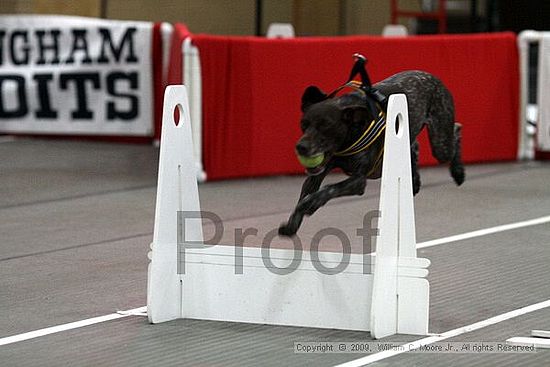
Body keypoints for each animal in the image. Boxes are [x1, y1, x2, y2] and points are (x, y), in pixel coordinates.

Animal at [280, 70, 466, 237]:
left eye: (326, 126)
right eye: (304, 124)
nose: (301, 147)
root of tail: (432, 77)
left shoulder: (358, 181)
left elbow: (328, 188)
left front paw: (311, 203)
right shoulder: (316, 175)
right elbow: (304, 197)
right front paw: (291, 226)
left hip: (440, 144)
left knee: (456, 130)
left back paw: (458, 172)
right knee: (415, 146)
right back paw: (415, 181)